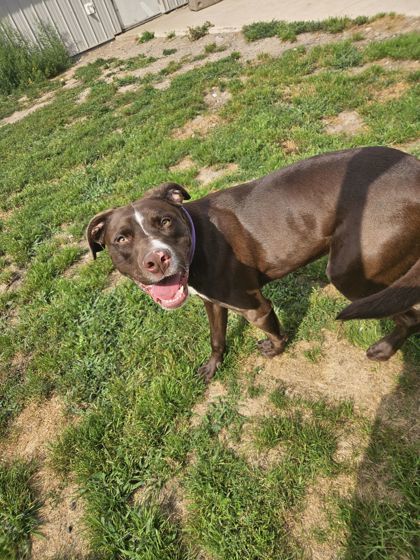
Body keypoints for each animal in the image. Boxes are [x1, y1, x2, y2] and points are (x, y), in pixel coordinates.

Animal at [87, 147, 418, 382]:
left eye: (165, 221)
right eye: (121, 239)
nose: (157, 259)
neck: (197, 237)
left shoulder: (256, 308)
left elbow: (275, 333)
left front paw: (275, 349)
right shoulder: (212, 303)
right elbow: (216, 338)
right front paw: (212, 366)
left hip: (352, 274)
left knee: (409, 316)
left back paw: (384, 349)